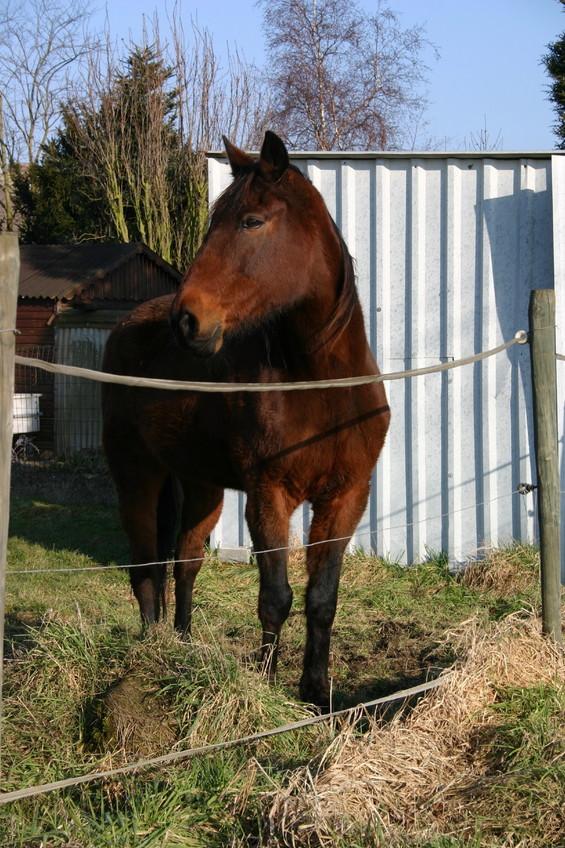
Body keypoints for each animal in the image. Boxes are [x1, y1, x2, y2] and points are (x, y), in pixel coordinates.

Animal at [101, 132, 390, 708]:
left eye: (252, 221)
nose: (188, 320)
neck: (318, 385)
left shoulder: (346, 495)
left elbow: (322, 597)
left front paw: (315, 693)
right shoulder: (268, 492)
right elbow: (275, 596)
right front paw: (264, 685)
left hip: (201, 484)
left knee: (184, 561)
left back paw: (183, 648)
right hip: (136, 474)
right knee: (145, 566)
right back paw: (149, 651)